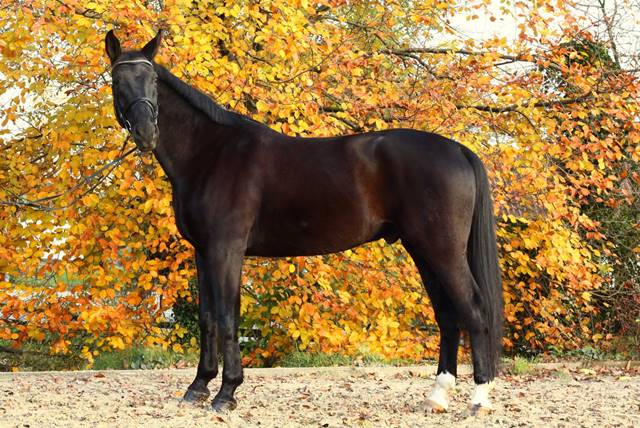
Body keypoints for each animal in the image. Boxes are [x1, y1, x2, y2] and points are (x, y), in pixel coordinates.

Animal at [104, 30, 503, 414]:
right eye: (118, 80)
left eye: (153, 79)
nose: (146, 133)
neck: (211, 153)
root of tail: (458, 150)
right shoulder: (203, 252)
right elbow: (207, 319)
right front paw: (198, 387)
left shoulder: (225, 250)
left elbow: (227, 317)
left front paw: (227, 393)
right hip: (423, 250)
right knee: (448, 315)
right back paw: (437, 396)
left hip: (442, 251)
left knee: (474, 310)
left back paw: (479, 398)